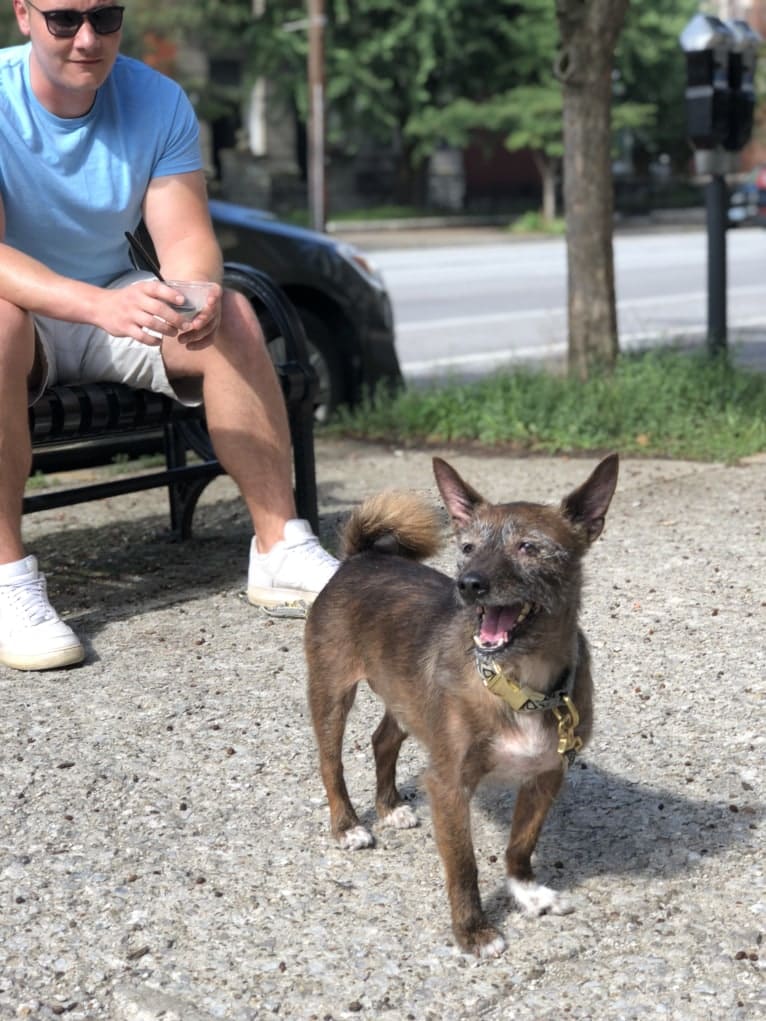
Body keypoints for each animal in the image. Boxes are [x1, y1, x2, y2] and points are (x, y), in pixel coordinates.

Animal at [302, 455, 620, 955]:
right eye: (467, 548)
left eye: (530, 547)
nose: (468, 584)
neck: (520, 682)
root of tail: (361, 557)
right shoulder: (450, 786)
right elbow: (464, 865)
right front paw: (472, 931)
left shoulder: (546, 774)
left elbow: (520, 844)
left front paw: (526, 893)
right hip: (332, 692)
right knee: (330, 762)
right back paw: (348, 824)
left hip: (408, 698)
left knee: (382, 740)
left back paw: (390, 806)